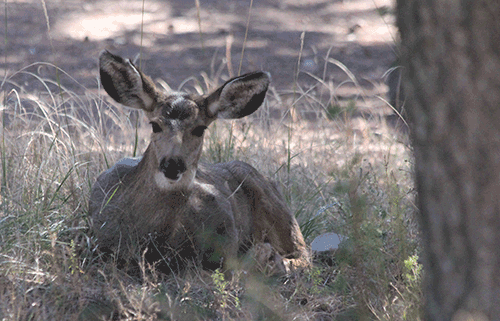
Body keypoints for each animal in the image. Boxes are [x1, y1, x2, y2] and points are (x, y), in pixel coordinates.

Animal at [89, 51, 308, 274]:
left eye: (200, 129)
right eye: (155, 125)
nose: (172, 165)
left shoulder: (227, 240)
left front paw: (264, 257)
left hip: (274, 206)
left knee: (303, 254)